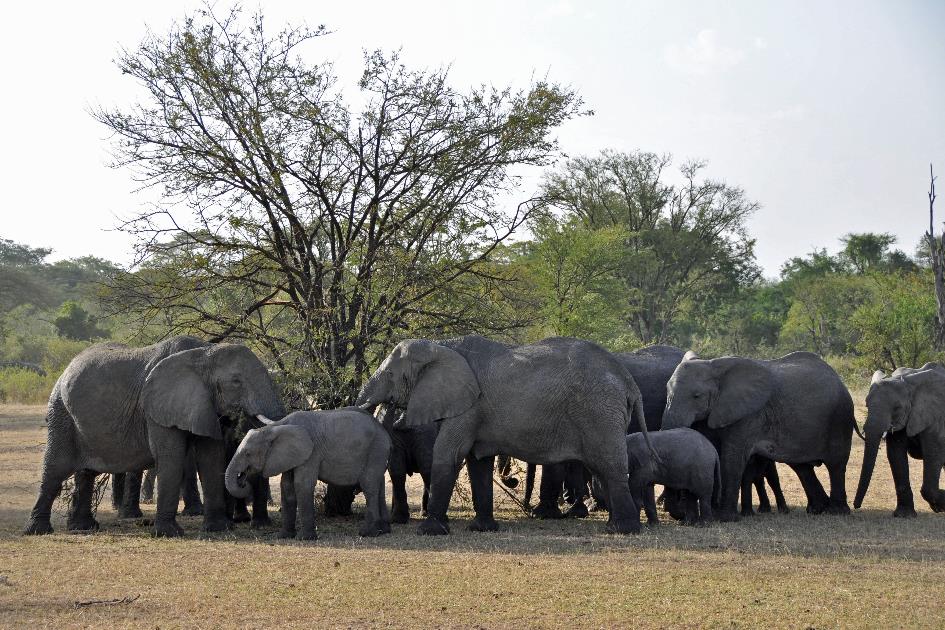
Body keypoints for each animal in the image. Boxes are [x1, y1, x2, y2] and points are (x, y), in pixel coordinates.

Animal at [24, 336, 282, 540]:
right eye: (236, 382)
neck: (204, 353)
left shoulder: (205, 404)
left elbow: (211, 457)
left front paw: (219, 528)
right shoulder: (157, 409)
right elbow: (172, 457)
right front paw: (169, 534)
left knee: (86, 472)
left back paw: (83, 527)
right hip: (60, 411)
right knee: (55, 468)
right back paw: (38, 531)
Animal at [225, 410, 390, 544]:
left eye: (248, 454)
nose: (242, 480)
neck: (276, 427)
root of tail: (385, 433)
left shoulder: (311, 453)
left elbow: (302, 484)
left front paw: (305, 538)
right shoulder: (289, 455)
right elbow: (287, 487)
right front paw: (284, 536)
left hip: (376, 450)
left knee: (369, 486)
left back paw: (368, 533)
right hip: (378, 453)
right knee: (379, 486)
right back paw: (384, 531)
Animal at [356, 336, 656, 540]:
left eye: (391, 374)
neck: (441, 345)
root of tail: (628, 381)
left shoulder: (468, 406)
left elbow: (448, 454)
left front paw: (430, 532)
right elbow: (478, 462)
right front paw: (482, 529)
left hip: (598, 412)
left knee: (608, 466)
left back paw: (624, 530)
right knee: (603, 468)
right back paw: (614, 526)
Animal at [656, 350, 856, 524]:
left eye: (696, 396)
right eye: (666, 391)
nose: (679, 514)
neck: (713, 366)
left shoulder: (748, 415)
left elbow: (731, 459)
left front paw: (725, 518)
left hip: (840, 418)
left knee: (836, 463)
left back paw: (836, 512)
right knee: (802, 466)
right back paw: (817, 509)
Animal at [852, 366, 944, 520]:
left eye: (897, 408)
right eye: (867, 404)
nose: (855, 506)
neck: (907, 382)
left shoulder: (935, 416)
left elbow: (934, 454)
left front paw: (940, 505)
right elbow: (895, 454)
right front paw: (904, 515)